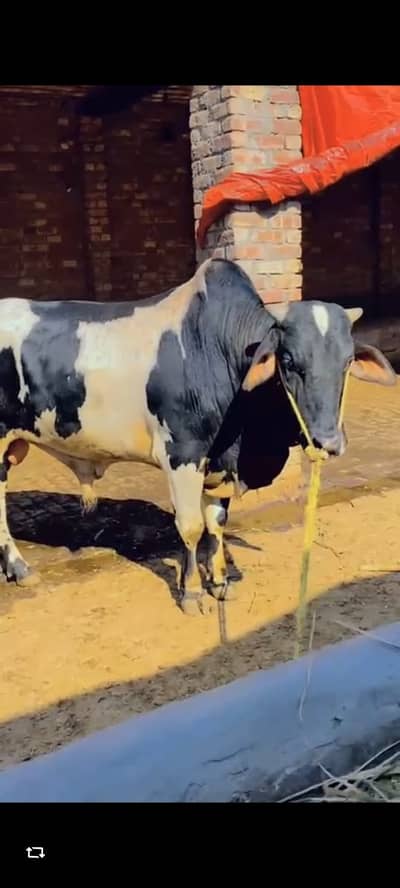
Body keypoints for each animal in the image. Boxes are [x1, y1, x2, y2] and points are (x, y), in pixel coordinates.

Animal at [0, 258, 395, 614]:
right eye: (288, 360)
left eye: (347, 362)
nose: (328, 441)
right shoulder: (182, 455)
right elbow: (190, 526)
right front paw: (190, 592)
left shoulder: (215, 461)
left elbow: (215, 522)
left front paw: (219, 583)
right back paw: (20, 567)